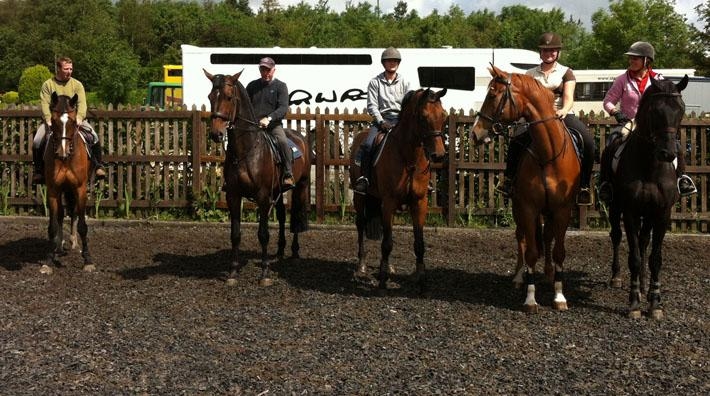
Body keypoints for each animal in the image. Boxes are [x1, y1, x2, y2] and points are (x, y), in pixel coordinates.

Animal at [43, 92, 94, 272]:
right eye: (53, 120)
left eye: (72, 121)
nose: (62, 152)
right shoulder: (52, 190)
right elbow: (52, 225)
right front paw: (48, 260)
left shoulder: (80, 188)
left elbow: (82, 225)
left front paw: (87, 260)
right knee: (61, 215)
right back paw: (59, 246)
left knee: (73, 213)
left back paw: (73, 242)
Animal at [202, 69, 310, 286]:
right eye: (210, 97)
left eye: (229, 97)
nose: (216, 134)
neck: (247, 151)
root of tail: (300, 137)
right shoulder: (233, 196)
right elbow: (235, 234)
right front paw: (233, 273)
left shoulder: (262, 196)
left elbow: (263, 234)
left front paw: (265, 273)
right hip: (277, 191)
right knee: (283, 216)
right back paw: (280, 250)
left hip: (300, 187)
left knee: (296, 216)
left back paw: (294, 252)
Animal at [350, 89, 444, 294]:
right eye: (423, 117)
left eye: (443, 115)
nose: (439, 155)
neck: (409, 158)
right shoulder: (389, 202)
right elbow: (387, 243)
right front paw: (383, 281)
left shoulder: (419, 203)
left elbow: (419, 244)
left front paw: (421, 281)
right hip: (359, 198)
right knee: (361, 226)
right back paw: (362, 266)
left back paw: (388, 266)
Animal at [470, 65, 580, 312]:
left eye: (493, 95)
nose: (475, 133)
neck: (548, 155)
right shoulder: (528, 208)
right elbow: (530, 251)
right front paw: (530, 299)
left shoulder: (563, 210)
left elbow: (559, 251)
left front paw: (559, 296)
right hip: (519, 209)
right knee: (521, 238)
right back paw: (520, 277)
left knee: (547, 237)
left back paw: (548, 274)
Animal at [608, 76, 688, 320]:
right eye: (655, 111)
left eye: (681, 109)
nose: (668, 154)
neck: (650, 165)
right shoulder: (630, 212)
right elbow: (633, 257)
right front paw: (634, 303)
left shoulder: (662, 213)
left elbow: (655, 258)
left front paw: (654, 303)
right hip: (615, 208)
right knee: (616, 237)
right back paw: (617, 278)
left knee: (644, 241)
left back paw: (643, 286)